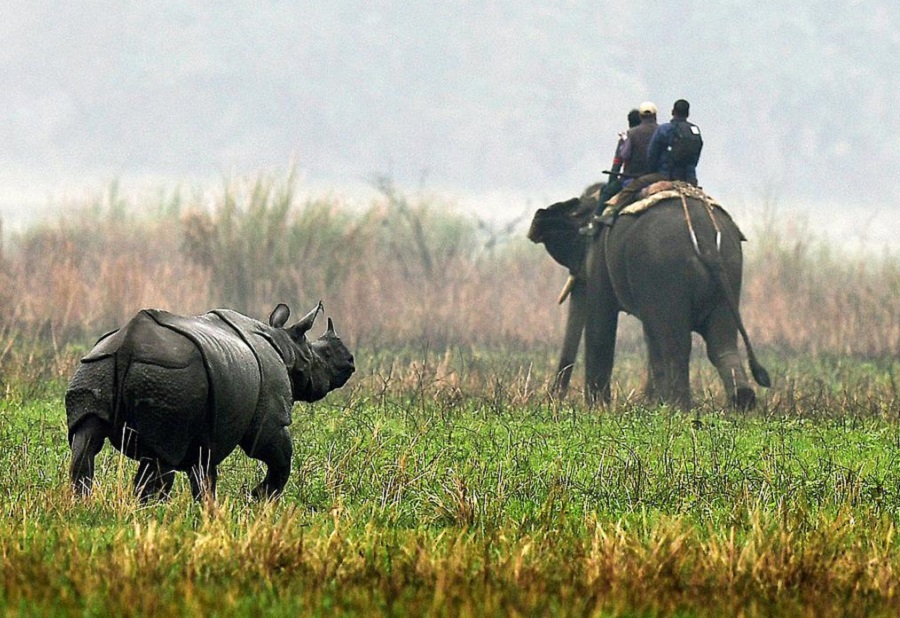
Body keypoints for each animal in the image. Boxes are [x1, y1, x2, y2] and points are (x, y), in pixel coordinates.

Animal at [65, 300, 354, 500]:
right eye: (322, 355)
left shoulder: (207, 432)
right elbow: (279, 456)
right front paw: (255, 500)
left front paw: (210, 512)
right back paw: (148, 513)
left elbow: (204, 475)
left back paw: (85, 505)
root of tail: (127, 345)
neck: (286, 347)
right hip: (169, 376)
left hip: (96, 364)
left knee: (85, 439)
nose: (350, 362)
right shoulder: (269, 419)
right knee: (160, 457)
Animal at [532, 180, 768, 406]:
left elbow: (601, 322)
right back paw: (741, 401)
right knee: (721, 344)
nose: (554, 399)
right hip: (730, 267)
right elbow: (650, 335)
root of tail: (705, 238)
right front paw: (652, 402)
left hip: (666, 270)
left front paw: (598, 407)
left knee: (676, 345)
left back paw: (678, 408)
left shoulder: (601, 258)